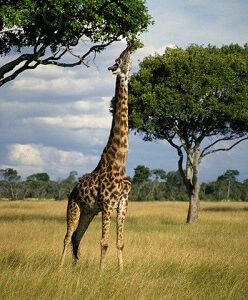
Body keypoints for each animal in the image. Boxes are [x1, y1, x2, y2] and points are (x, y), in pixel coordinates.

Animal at [61, 40, 137, 272]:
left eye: (124, 55)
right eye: (120, 59)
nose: (132, 43)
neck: (119, 162)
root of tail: (72, 190)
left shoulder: (123, 203)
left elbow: (119, 242)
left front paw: (121, 272)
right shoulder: (108, 203)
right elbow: (104, 242)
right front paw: (102, 272)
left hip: (88, 212)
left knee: (76, 237)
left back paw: (75, 268)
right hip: (74, 206)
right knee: (67, 236)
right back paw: (60, 268)